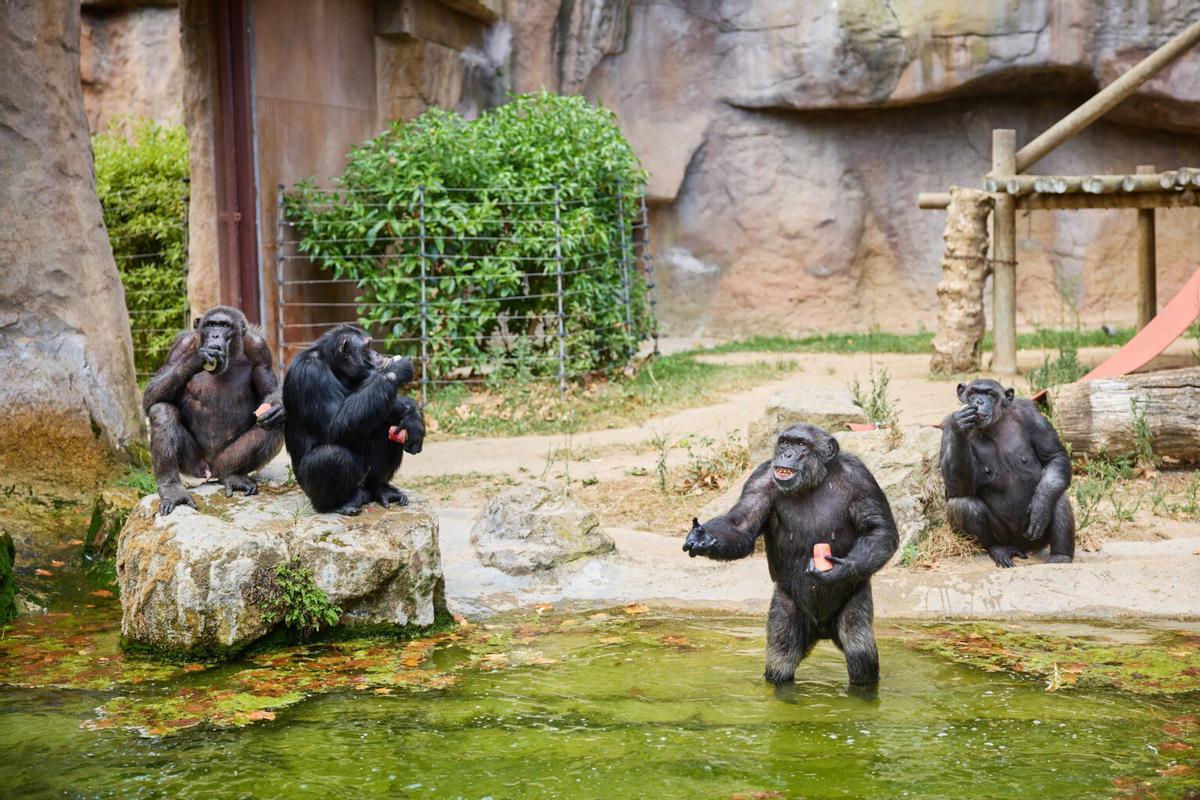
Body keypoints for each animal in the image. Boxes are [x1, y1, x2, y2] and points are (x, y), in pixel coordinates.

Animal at [141, 303, 284, 515]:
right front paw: (198, 358)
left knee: (273, 426)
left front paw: (278, 407)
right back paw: (172, 490)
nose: (215, 335)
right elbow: (151, 396)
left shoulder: (261, 350)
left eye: (224, 325)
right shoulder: (180, 346)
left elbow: (269, 392)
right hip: (193, 464)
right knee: (161, 411)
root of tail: (210, 469)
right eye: (210, 325)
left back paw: (233, 476)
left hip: (226, 459)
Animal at [283, 323, 424, 515]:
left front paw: (414, 418)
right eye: (367, 348)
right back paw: (340, 504)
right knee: (331, 455)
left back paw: (380, 488)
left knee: (386, 426)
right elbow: (336, 424)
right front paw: (395, 370)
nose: (377, 355)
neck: (334, 367)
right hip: (316, 490)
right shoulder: (309, 373)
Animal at [686, 424, 902, 690]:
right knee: (781, 656)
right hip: (787, 605)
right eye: (785, 442)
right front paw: (703, 537)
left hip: (855, 598)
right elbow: (742, 525)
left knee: (859, 648)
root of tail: (822, 630)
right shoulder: (760, 479)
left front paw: (841, 569)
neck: (814, 481)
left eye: (801, 444)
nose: (787, 453)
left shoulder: (862, 479)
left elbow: (878, 529)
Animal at [936, 376, 1080, 568]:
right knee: (963, 505)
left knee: (1056, 494)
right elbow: (956, 490)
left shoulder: (1033, 416)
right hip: (1007, 537)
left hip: (1037, 539)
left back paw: (1060, 557)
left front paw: (1040, 507)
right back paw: (999, 549)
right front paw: (961, 425)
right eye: (973, 392)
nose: (979, 401)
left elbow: (1054, 456)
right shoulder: (946, 429)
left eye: (990, 394)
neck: (994, 425)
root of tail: (1023, 548)